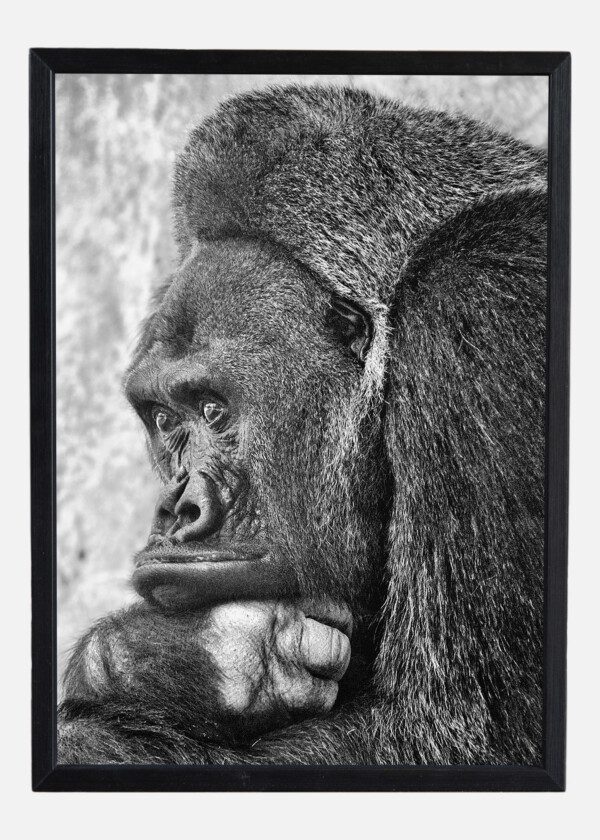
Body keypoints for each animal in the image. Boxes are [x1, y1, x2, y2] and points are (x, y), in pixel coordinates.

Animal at [58, 85, 546, 765]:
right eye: (164, 419)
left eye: (213, 408)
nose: (174, 511)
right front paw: (181, 662)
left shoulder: (480, 310)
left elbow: (459, 734)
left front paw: (199, 662)